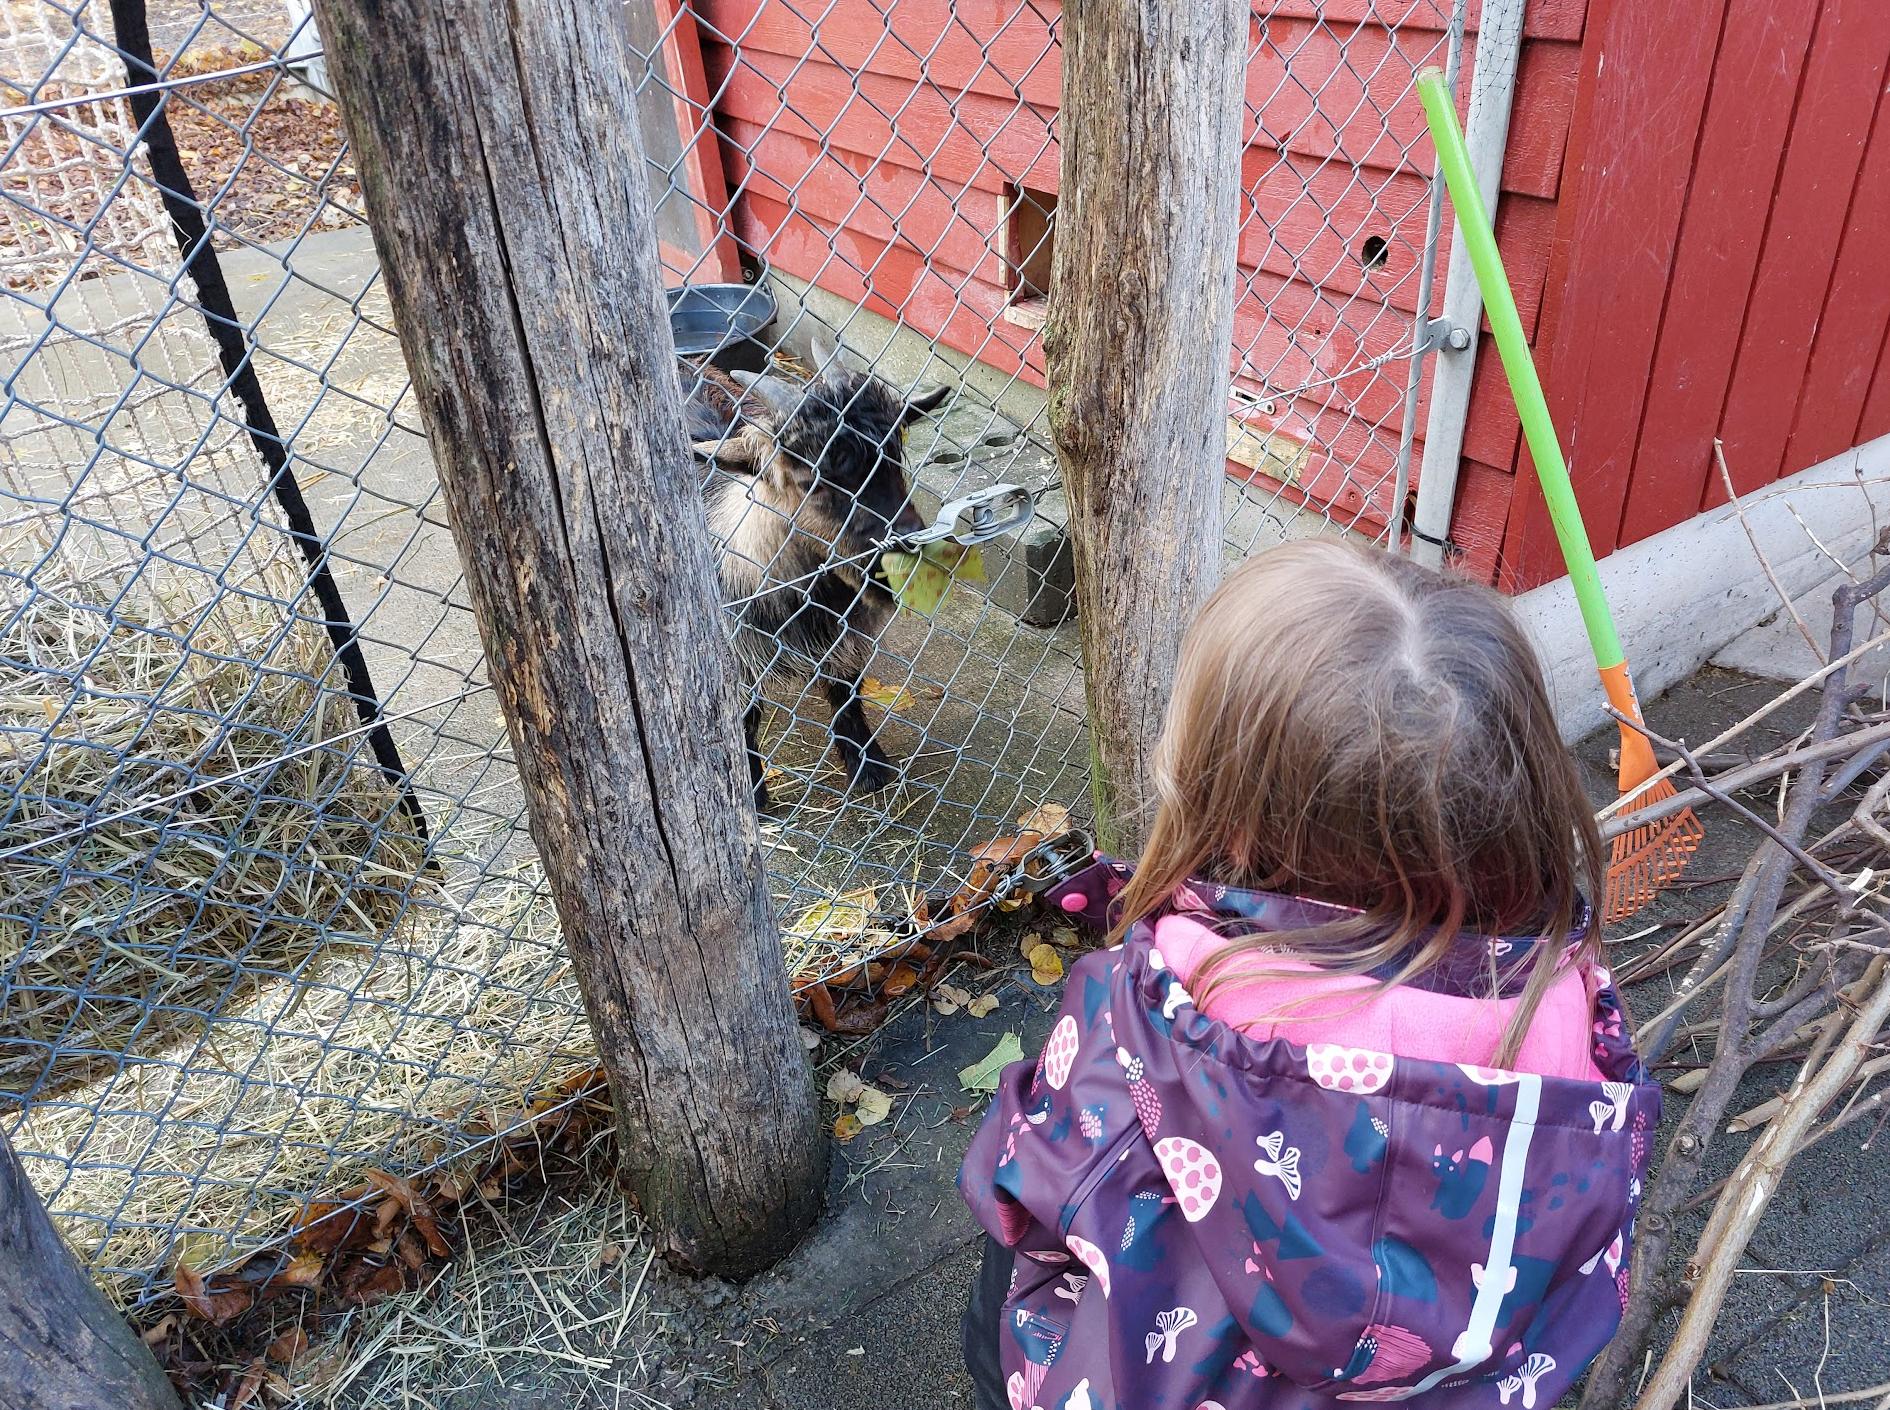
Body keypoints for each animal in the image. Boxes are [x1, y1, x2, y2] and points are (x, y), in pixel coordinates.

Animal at [691, 334, 952, 808]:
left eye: (894, 453)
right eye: (807, 479)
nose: (904, 553)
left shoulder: (846, 635)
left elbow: (845, 690)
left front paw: (867, 765)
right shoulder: (733, 653)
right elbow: (744, 718)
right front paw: (752, 791)